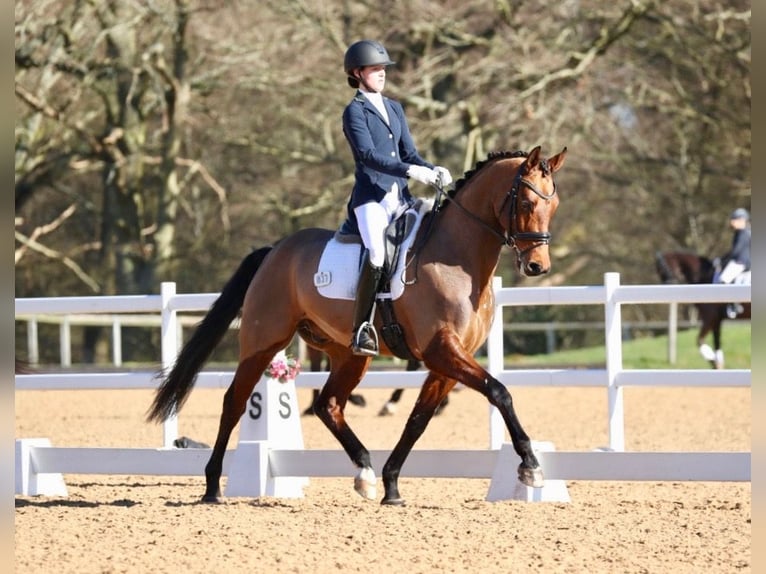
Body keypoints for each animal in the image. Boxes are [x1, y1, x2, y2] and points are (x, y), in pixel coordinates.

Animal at [150, 146, 568, 506]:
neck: (457, 260)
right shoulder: (442, 350)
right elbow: (500, 392)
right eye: (527, 203)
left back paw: (365, 471)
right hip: (263, 342)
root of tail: (275, 250)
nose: (538, 266)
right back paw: (211, 486)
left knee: (329, 404)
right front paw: (531, 466)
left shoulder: (446, 361)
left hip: (349, 354)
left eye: (555, 205)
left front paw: (392, 484)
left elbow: (418, 420)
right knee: (234, 402)